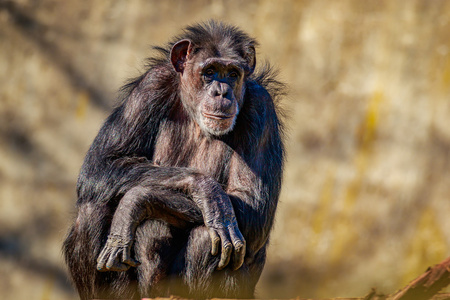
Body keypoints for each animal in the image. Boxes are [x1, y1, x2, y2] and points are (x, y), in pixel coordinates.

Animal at [63, 19, 284, 298]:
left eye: (233, 73)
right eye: (209, 71)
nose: (221, 92)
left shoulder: (261, 107)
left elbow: (252, 204)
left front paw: (137, 201)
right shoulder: (150, 85)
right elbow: (101, 164)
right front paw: (206, 190)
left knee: (210, 235)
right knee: (92, 210)